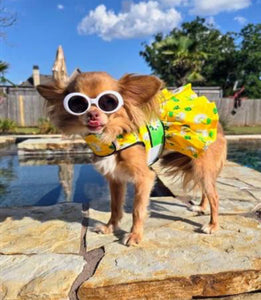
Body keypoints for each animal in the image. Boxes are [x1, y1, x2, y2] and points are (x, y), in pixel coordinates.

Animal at [36, 72, 225, 246]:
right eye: (77, 104)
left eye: (108, 102)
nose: (92, 114)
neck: (113, 137)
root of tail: (218, 125)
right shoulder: (115, 178)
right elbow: (115, 207)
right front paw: (110, 227)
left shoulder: (144, 178)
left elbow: (137, 210)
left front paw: (135, 235)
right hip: (197, 167)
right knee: (206, 191)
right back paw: (201, 207)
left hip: (201, 167)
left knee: (215, 196)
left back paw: (213, 225)